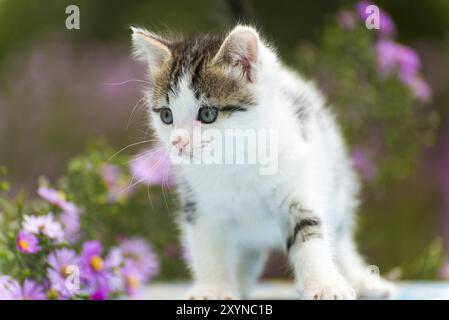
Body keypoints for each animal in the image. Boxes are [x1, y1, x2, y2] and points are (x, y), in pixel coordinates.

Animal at [130, 25, 396, 300]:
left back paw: (363, 280)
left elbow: (310, 233)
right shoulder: (201, 205)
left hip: (336, 183)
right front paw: (213, 289)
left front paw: (325, 285)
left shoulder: (298, 186)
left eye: (207, 114)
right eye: (166, 116)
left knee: (341, 238)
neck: (236, 160)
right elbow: (208, 246)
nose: (178, 142)